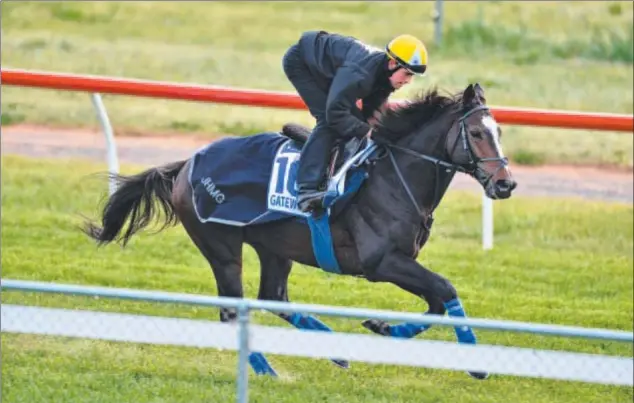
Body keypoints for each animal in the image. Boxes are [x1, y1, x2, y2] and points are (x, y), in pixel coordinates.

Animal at [82, 83, 512, 380]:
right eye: (476, 134)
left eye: (499, 132)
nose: (506, 184)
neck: (394, 176)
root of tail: (187, 163)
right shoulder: (382, 262)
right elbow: (444, 289)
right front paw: (476, 364)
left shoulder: (399, 263)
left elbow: (437, 301)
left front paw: (382, 325)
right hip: (222, 247)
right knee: (232, 311)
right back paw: (268, 371)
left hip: (274, 248)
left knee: (273, 297)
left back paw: (333, 349)